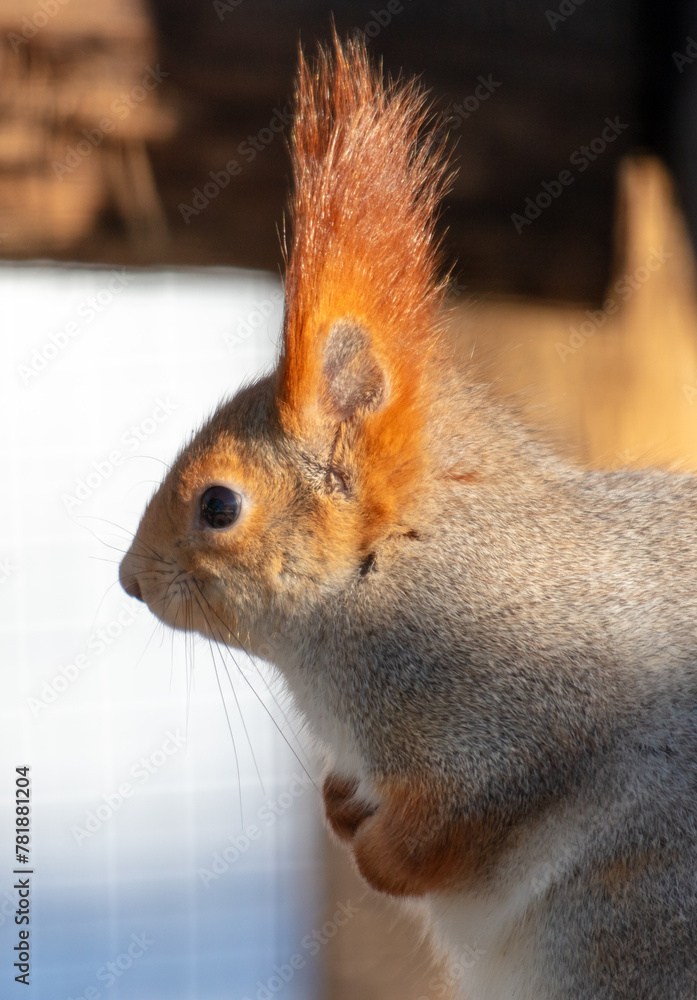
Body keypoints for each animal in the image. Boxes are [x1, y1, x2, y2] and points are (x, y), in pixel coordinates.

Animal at [119, 35, 697, 1000]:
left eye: (218, 505)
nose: (128, 580)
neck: (389, 571)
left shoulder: (522, 710)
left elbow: (456, 822)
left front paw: (378, 857)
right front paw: (338, 805)